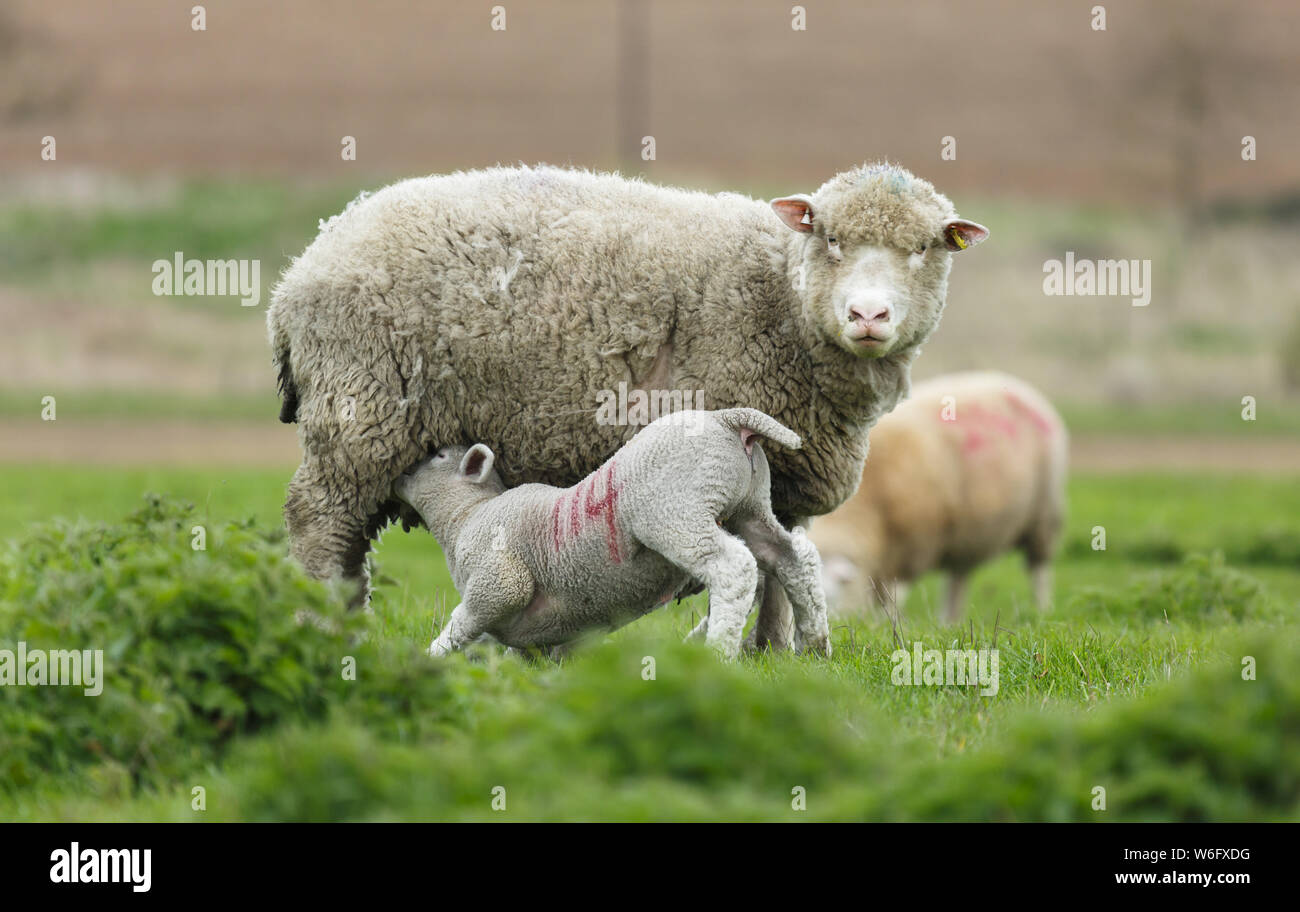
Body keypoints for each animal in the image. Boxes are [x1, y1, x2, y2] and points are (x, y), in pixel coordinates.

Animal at [392, 408, 831, 660]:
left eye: (438, 456)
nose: (401, 473)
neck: (465, 516)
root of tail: (730, 419)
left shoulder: (499, 579)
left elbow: (466, 621)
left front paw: (430, 655)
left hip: (677, 514)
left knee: (734, 567)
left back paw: (718, 654)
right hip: (749, 506)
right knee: (793, 557)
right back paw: (815, 644)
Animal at [809, 371, 1068, 622]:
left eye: (832, 596)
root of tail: (1024, 389)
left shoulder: (914, 543)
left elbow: (894, 596)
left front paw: (886, 624)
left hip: (1044, 516)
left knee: (1039, 570)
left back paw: (1041, 610)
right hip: (967, 532)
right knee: (959, 577)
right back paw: (950, 622)